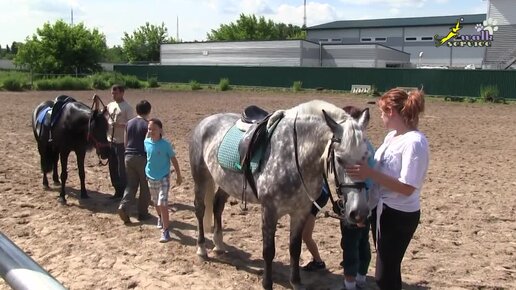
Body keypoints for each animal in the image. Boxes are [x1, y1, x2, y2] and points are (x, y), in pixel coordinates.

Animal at [187, 99, 368, 288]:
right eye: (339, 158)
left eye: (366, 156)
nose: (359, 213)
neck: (294, 156)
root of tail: (206, 121)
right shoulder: (269, 211)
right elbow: (268, 250)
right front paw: (267, 284)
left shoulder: (300, 212)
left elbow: (295, 249)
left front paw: (296, 282)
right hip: (200, 177)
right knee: (200, 209)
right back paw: (202, 249)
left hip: (225, 182)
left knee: (217, 205)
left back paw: (219, 244)